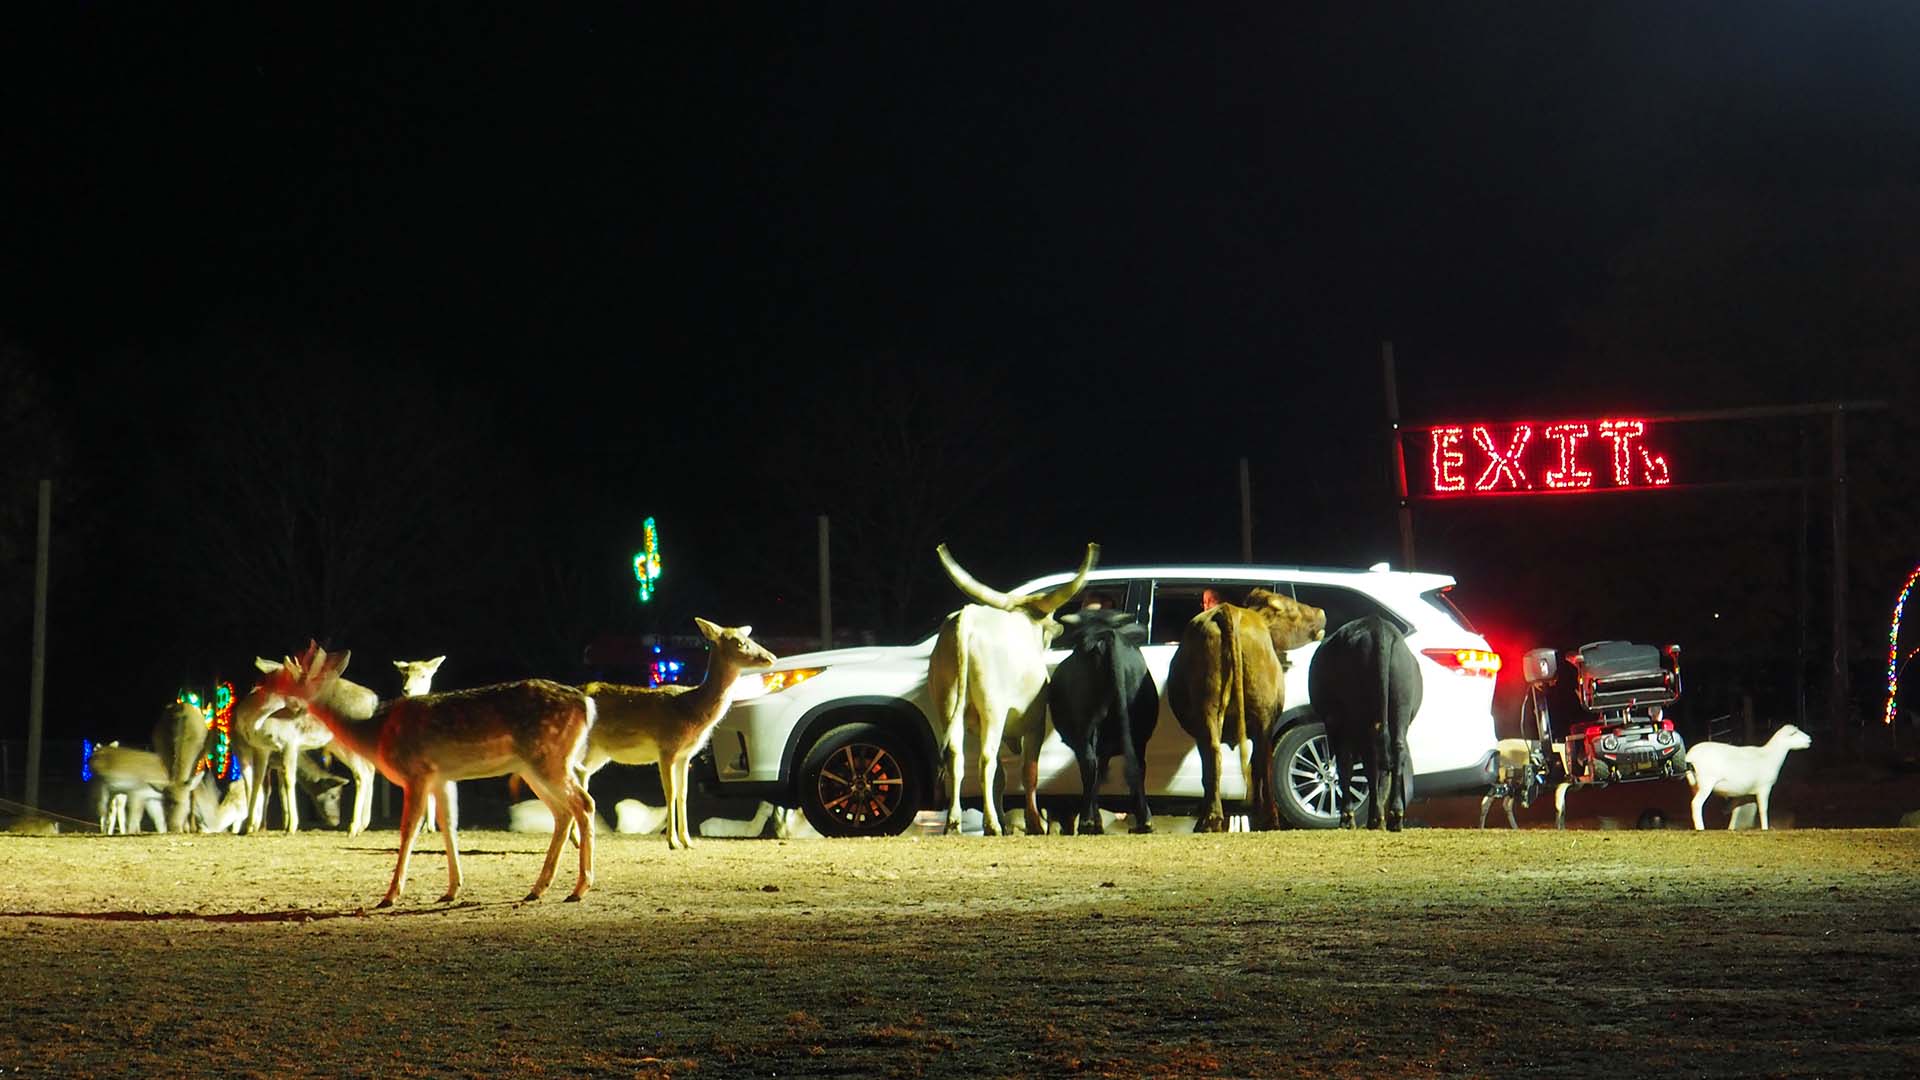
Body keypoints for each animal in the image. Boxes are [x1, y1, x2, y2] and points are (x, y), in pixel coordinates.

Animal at [259, 641, 595, 903]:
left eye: (287, 675)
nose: (263, 691)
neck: (374, 732)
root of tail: (587, 705)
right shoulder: (441, 777)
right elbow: (449, 825)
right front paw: (452, 889)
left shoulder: (416, 773)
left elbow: (409, 829)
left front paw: (391, 894)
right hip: (533, 767)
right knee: (563, 812)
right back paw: (539, 888)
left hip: (548, 759)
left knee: (584, 804)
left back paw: (579, 888)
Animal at [572, 618, 775, 845]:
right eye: (740, 643)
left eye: (751, 638)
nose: (771, 658)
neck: (692, 710)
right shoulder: (667, 748)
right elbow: (670, 793)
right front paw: (673, 842)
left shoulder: (685, 756)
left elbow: (683, 793)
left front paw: (687, 841)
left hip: (599, 753)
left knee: (580, 778)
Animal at [1052, 607, 1152, 834]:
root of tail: (1104, 637)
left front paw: (1093, 818)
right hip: (1137, 733)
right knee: (1137, 767)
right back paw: (1144, 820)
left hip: (1086, 728)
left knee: (1089, 767)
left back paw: (1087, 821)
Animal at [1159, 584, 1328, 826]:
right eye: (1290, 608)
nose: (1321, 611)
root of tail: (1229, 611)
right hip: (1262, 717)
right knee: (1261, 762)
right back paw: (1268, 817)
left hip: (1209, 710)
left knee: (1213, 757)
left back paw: (1211, 817)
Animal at [1305, 611, 1428, 826]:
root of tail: (1379, 628)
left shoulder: (1335, 724)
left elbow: (1344, 764)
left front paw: (1347, 817)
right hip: (1400, 705)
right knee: (1395, 751)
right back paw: (1394, 816)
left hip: (1359, 715)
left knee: (1368, 759)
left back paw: (1371, 818)